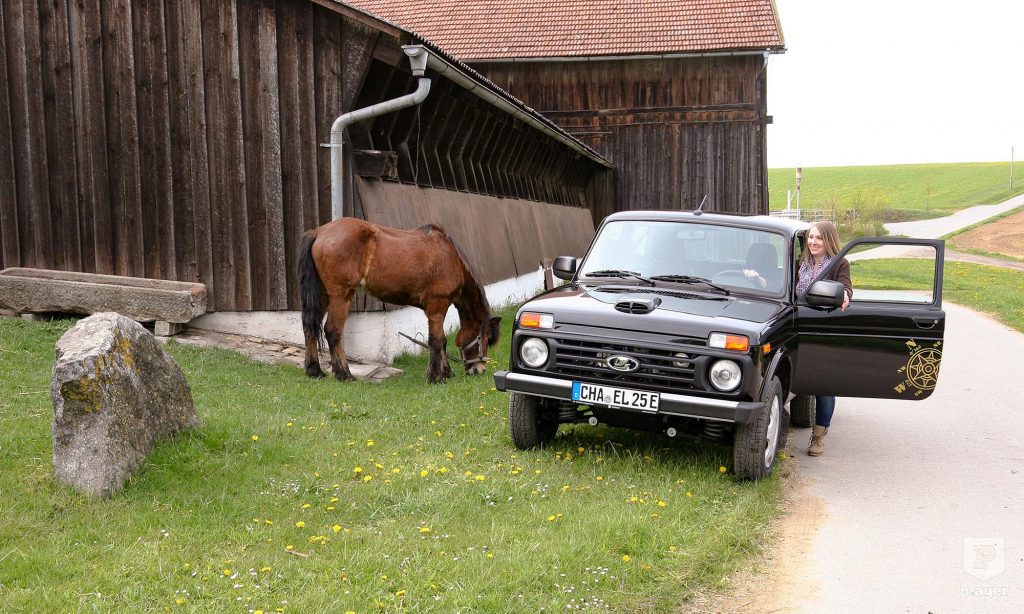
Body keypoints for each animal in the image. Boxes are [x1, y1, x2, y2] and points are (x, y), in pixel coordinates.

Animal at [297, 217, 501, 383]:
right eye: (485, 338)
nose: (480, 369)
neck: (450, 259)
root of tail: (318, 232)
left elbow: (442, 341)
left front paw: (446, 372)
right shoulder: (437, 306)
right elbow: (436, 341)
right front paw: (436, 376)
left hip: (323, 295)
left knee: (309, 327)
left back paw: (315, 371)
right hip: (340, 296)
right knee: (333, 331)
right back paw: (344, 374)